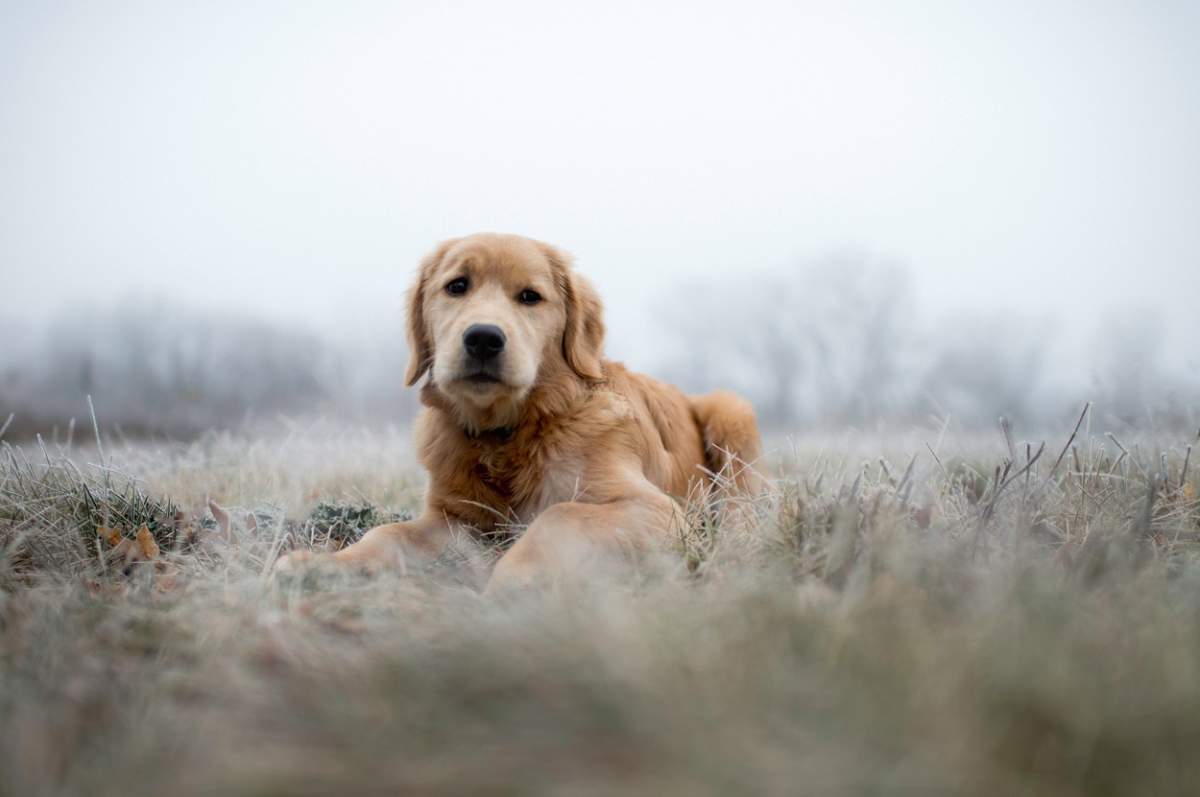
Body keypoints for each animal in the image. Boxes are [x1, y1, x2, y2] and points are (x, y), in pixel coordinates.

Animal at [278, 234, 758, 588]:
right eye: (457, 286)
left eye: (530, 297)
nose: (483, 339)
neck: (511, 430)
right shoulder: (457, 519)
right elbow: (388, 533)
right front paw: (323, 563)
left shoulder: (656, 509)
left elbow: (557, 517)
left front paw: (511, 580)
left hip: (731, 414)